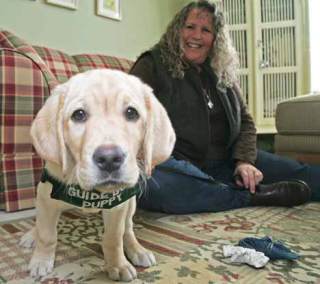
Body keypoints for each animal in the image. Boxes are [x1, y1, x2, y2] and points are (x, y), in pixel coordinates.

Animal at [21, 69, 176, 282]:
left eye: (131, 113)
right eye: (79, 114)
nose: (109, 159)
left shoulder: (118, 205)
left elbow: (114, 238)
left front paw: (118, 265)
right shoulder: (47, 197)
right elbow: (47, 234)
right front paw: (41, 261)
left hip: (131, 203)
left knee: (128, 229)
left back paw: (137, 250)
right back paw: (31, 235)